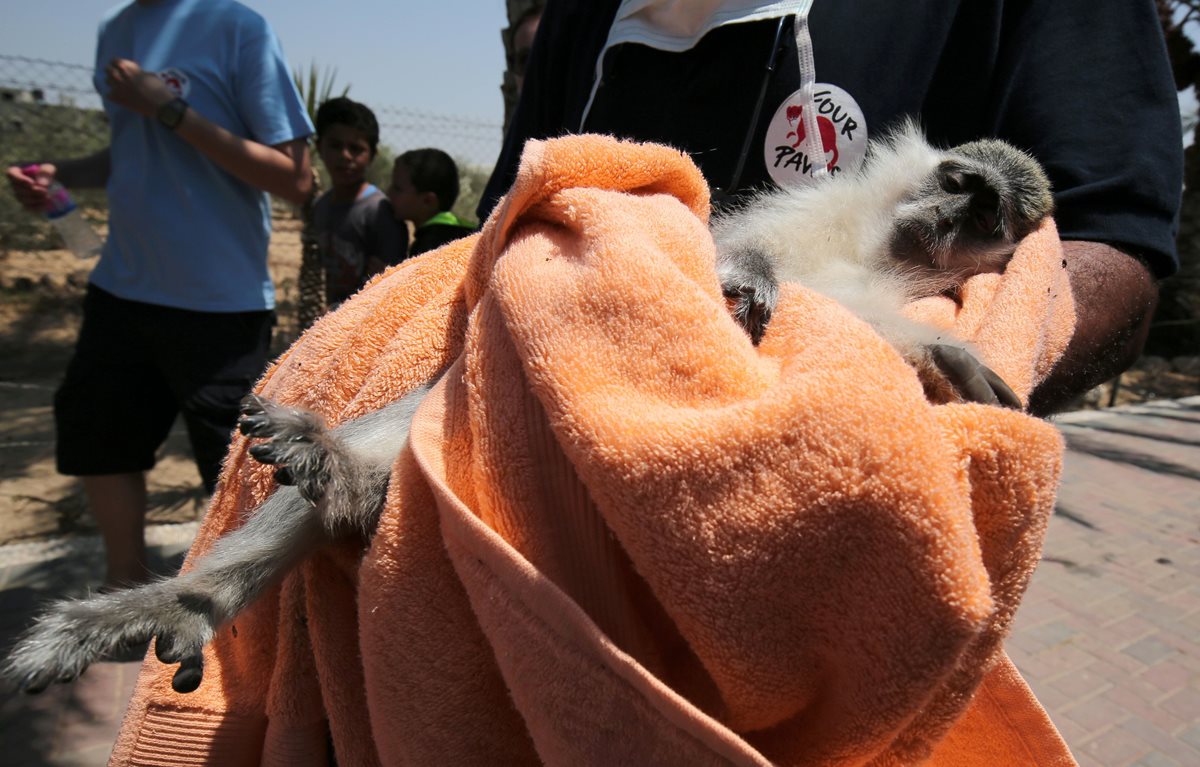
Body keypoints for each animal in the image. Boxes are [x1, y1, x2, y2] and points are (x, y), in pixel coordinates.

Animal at [2, 123, 1051, 691]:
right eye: (960, 183)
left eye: (984, 213)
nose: (949, 213)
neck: (879, 245)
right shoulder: (804, 221)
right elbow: (718, 246)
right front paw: (749, 277)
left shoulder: (888, 291)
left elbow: (897, 336)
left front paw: (953, 355)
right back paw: (260, 538)